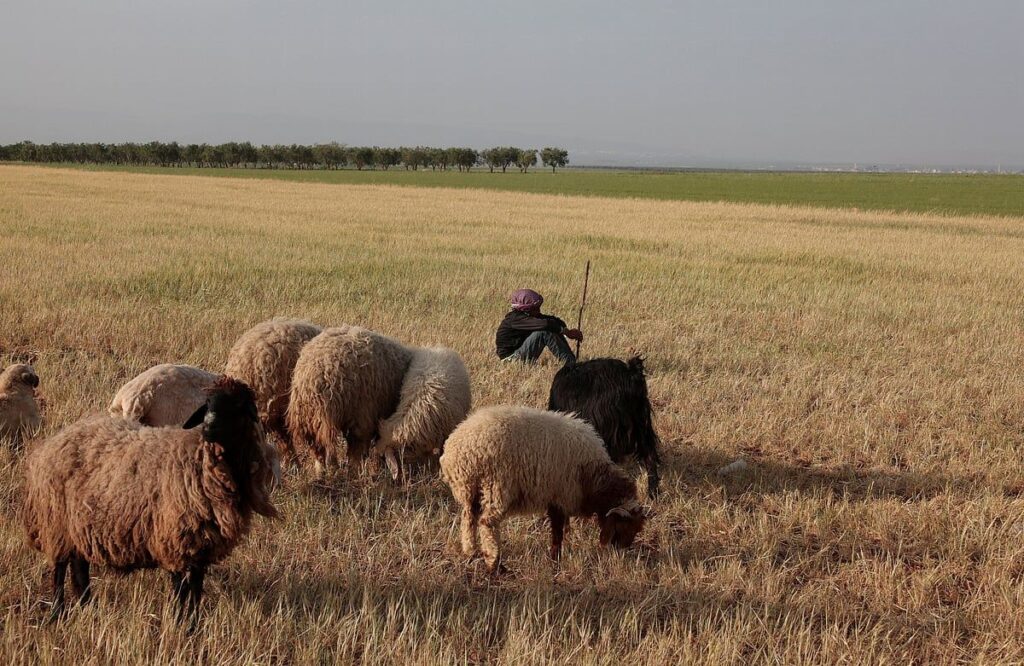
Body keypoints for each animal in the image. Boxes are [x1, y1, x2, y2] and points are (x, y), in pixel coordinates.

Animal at [22, 376, 279, 622]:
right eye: (207, 403)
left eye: (237, 404)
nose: (208, 426)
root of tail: (54, 442)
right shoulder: (174, 538)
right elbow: (180, 589)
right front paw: (177, 623)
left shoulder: (200, 547)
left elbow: (196, 590)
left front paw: (193, 625)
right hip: (56, 524)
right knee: (59, 570)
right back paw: (57, 613)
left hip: (79, 526)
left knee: (79, 568)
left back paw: (87, 608)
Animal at [286, 326, 412, 474]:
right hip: (357, 414)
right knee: (353, 448)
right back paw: (351, 471)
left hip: (309, 419)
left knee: (318, 448)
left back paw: (321, 471)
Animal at [440, 405, 647, 574]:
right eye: (624, 526)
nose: (621, 555)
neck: (593, 476)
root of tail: (458, 450)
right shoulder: (561, 494)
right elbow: (557, 532)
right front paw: (555, 560)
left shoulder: (555, 497)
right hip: (496, 487)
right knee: (486, 523)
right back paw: (495, 564)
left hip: (469, 490)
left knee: (468, 518)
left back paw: (471, 552)